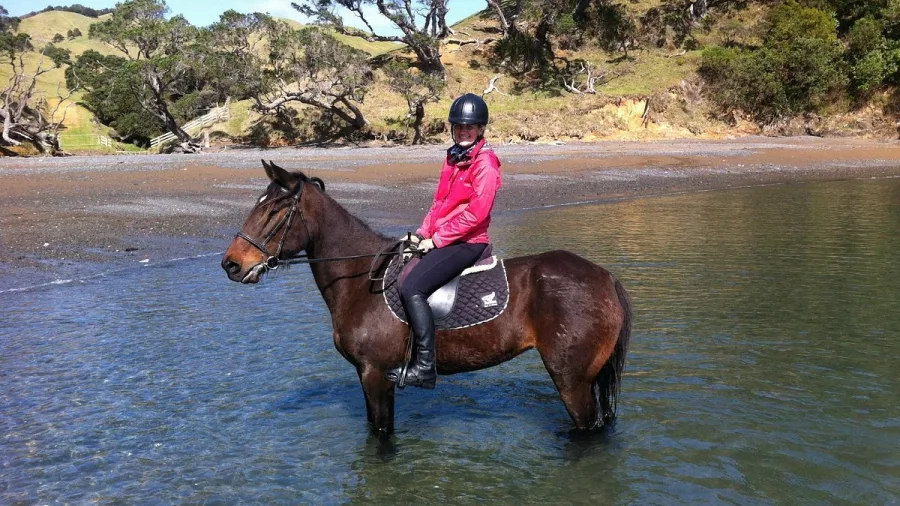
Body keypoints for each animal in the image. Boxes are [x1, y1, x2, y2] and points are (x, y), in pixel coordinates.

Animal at [221, 160, 632, 436]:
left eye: (275, 210)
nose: (231, 264)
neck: (361, 279)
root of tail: (605, 277)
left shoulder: (376, 374)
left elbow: (382, 437)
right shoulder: (364, 375)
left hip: (572, 380)